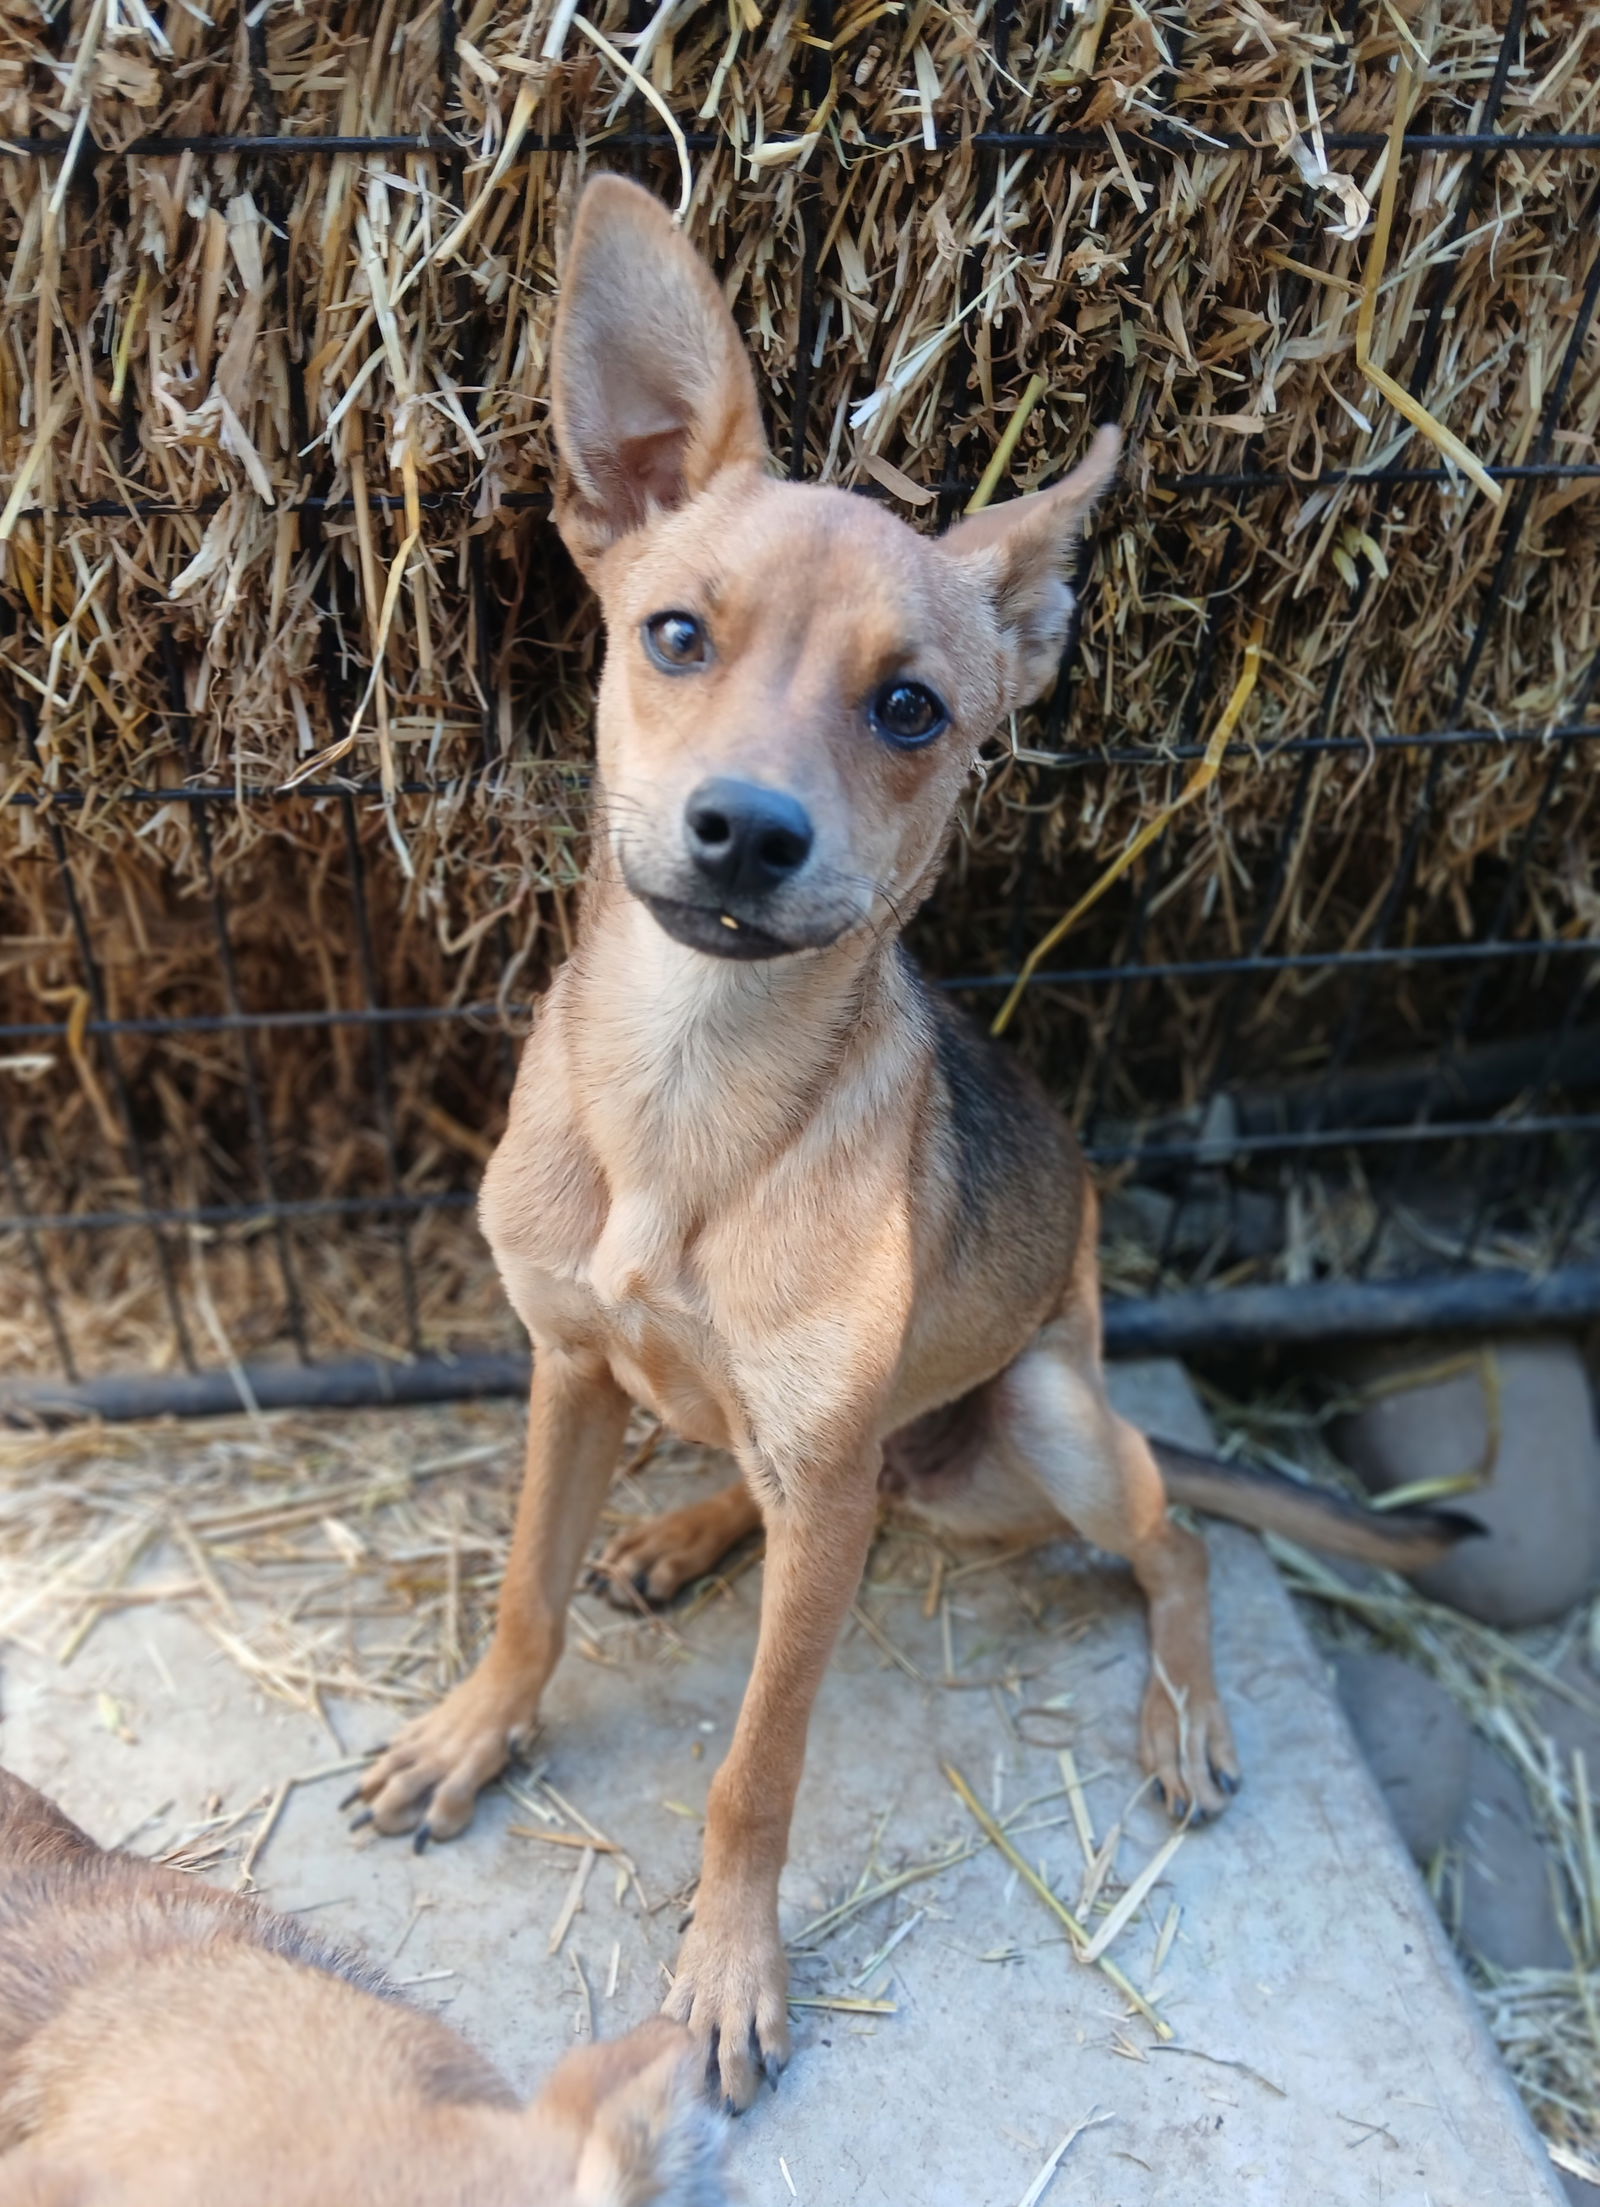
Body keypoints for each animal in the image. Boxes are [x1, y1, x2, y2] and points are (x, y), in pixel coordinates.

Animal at [353, 176, 1474, 2101]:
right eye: (674, 633)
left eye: (911, 709)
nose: (745, 833)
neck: (690, 1093)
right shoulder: (567, 1367)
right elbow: (524, 1595)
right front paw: (474, 1732)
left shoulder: (804, 1505)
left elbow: (757, 1766)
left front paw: (729, 1965)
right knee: (814, 1479)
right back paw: (681, 1531)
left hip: (1044, 1418)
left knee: (1168, 1536)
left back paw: (1184, 1711)